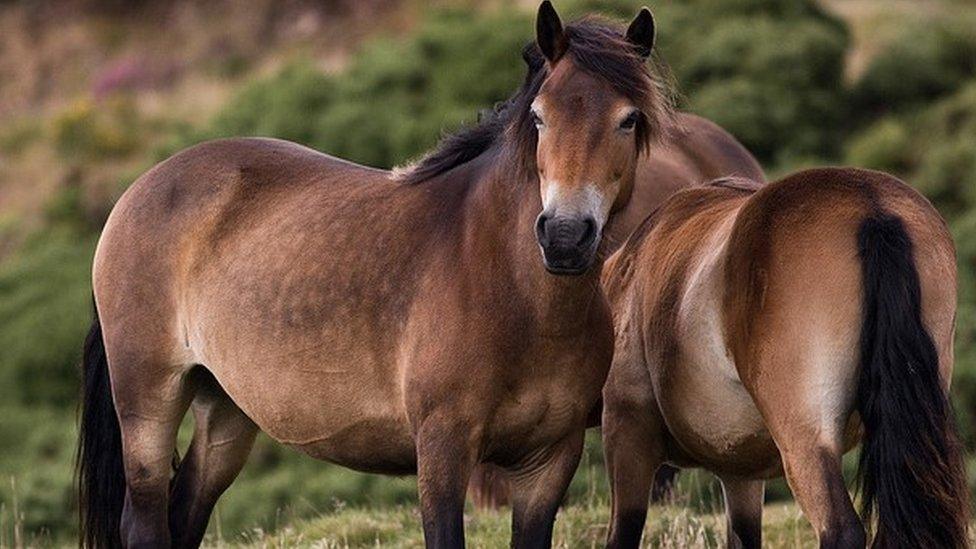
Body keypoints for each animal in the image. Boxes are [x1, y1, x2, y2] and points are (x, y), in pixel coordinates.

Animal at [80, 4, 668, 548]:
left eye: (628, 119)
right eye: (540, 117)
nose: (565, 236)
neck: (515, 294)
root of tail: (140, 189)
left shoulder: (547, 464)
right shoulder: (443, 451)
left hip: (223, 409)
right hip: (148, 401)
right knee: (147, 519)